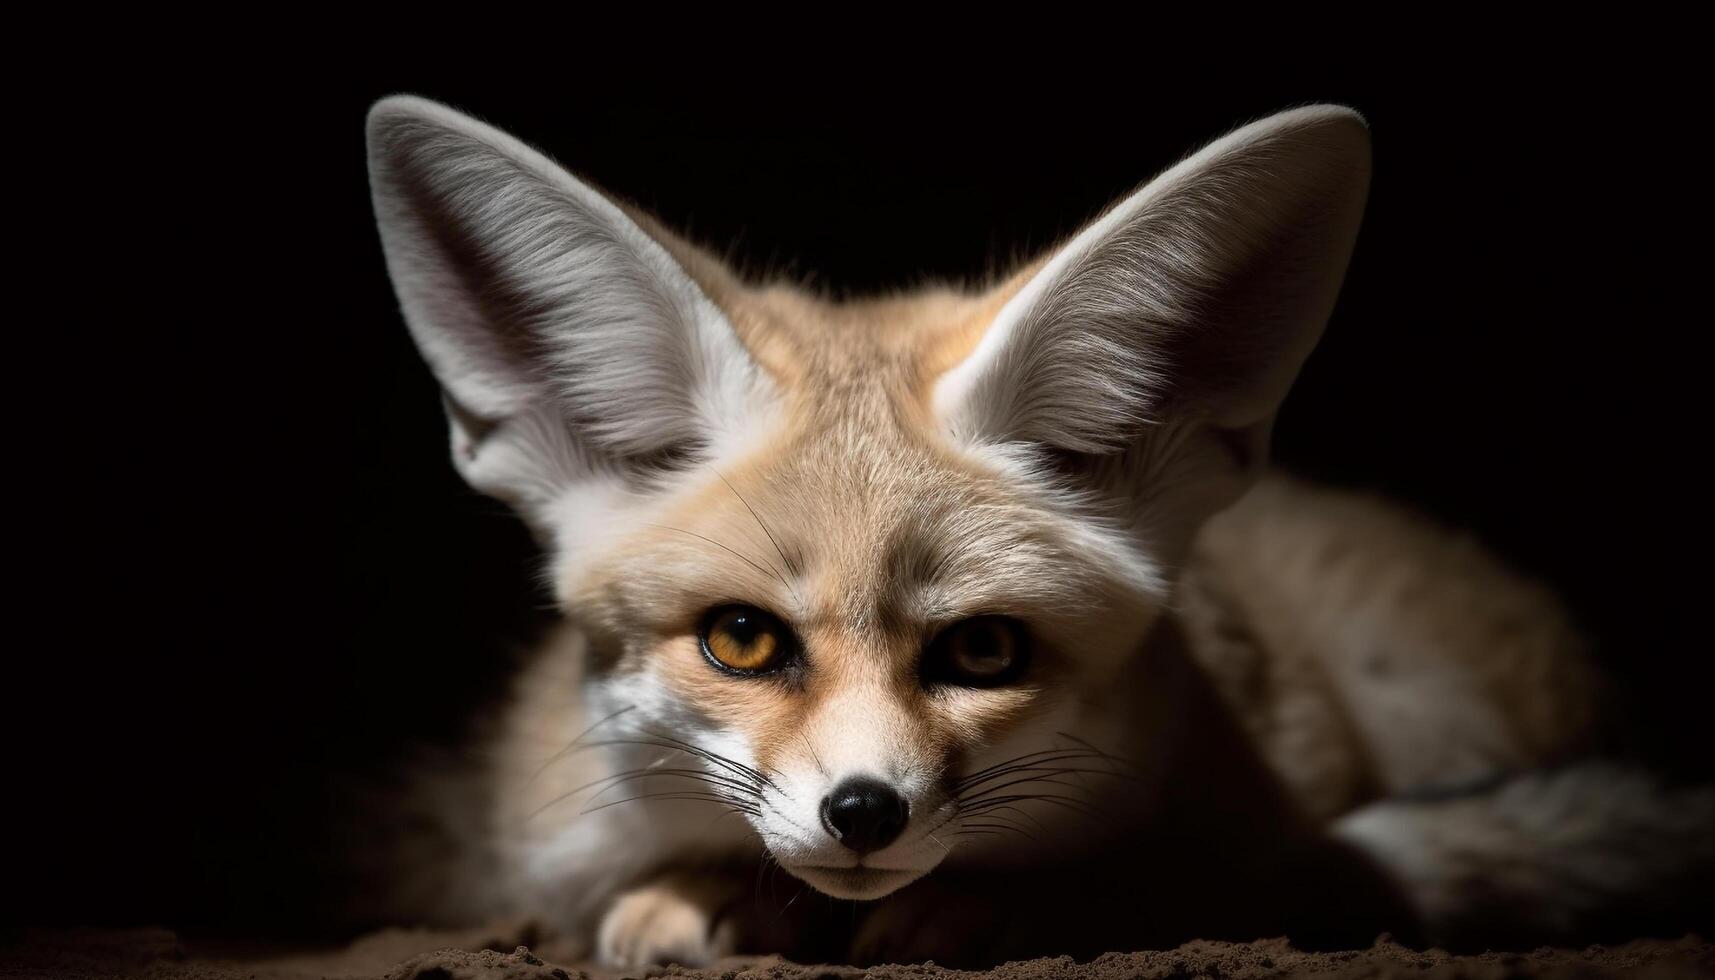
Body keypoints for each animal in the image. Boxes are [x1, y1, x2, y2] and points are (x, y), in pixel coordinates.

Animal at [365, 95, 1715, 967]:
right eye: (740, 640)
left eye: (981, 650)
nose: (864, 812)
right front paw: (698, 892)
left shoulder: (1270, 824)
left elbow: (1173, 878)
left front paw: (998, 903)